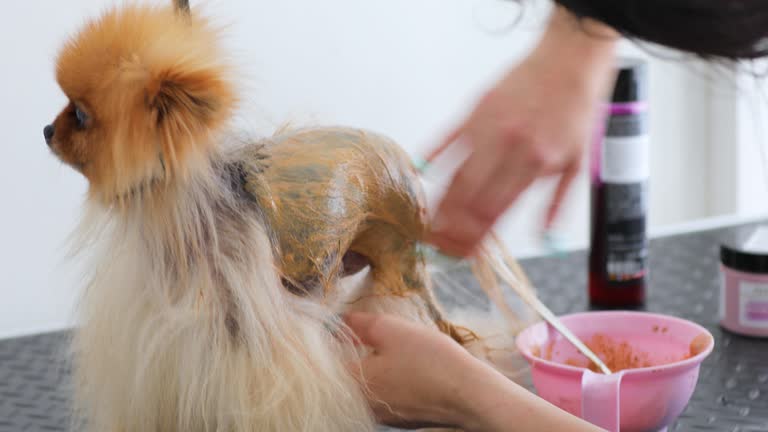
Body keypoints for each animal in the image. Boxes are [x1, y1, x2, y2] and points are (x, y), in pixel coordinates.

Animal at [46, 1, 528, 430]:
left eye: (81, 115)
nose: (47, 130)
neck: (174, 215)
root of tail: (407, 169)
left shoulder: (243, 332)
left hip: (397, 258)